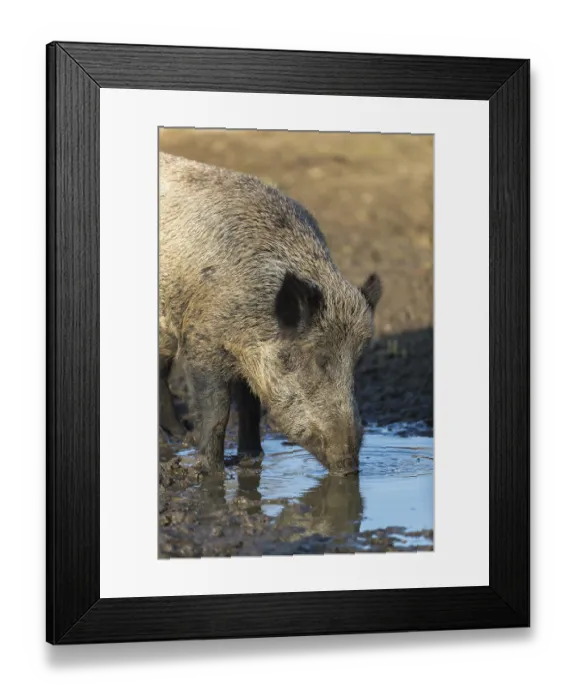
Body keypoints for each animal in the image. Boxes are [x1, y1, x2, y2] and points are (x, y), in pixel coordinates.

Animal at [159, 152, 382, 475]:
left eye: (357, 362)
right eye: (320, 359)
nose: (349, 466)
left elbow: (250, 407)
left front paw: (252, 459)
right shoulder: (201, 340)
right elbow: (218, 411)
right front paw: (211, 470)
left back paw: (179, 436)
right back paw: (178, 439)